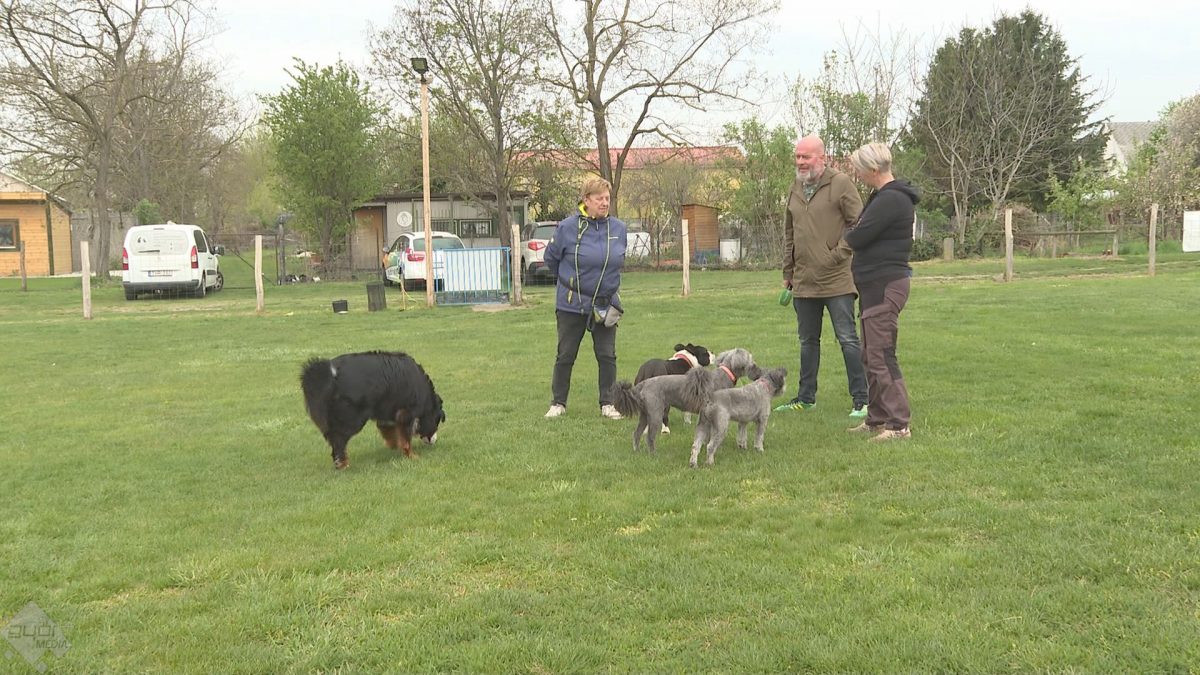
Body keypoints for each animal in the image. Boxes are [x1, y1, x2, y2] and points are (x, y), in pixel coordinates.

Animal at [300, 351, 446, 469]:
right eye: (437, 422)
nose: (434, 441)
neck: (425, 394)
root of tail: (329, 374)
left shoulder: (387, 415)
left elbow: (390, 433)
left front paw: (394, 446)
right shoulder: (406, 413)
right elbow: (406, 440)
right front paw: (411, 455)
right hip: (351, 419)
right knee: (338, 439)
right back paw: (343, 464)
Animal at [609, 348, 756, 454]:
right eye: (749, 357)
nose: (755, 365)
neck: (724, 374)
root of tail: (643, 384)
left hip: (645, 415)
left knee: (636, 433)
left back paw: (637, 451)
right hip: (656, 414)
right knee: (650, 437)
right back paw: (653, 454)